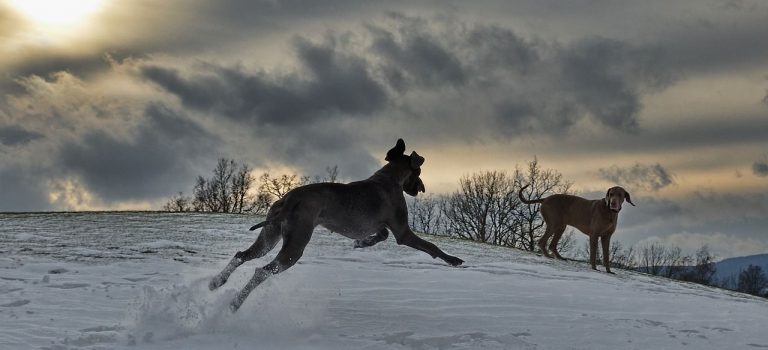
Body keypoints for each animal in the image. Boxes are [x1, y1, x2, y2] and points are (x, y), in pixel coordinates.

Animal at [208, 138, 462, 310]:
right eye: (418, 172)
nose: (422, 189)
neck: (389, 178)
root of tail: (289, 199)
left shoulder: (375, 226)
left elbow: (381, 235)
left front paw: (361, 244)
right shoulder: (403, 232)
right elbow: (430, 246)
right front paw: (453, 260)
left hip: (269, 236)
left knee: (242, 255)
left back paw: (216, 281)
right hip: (295, 244)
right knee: (262, 271)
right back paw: (235, 303)